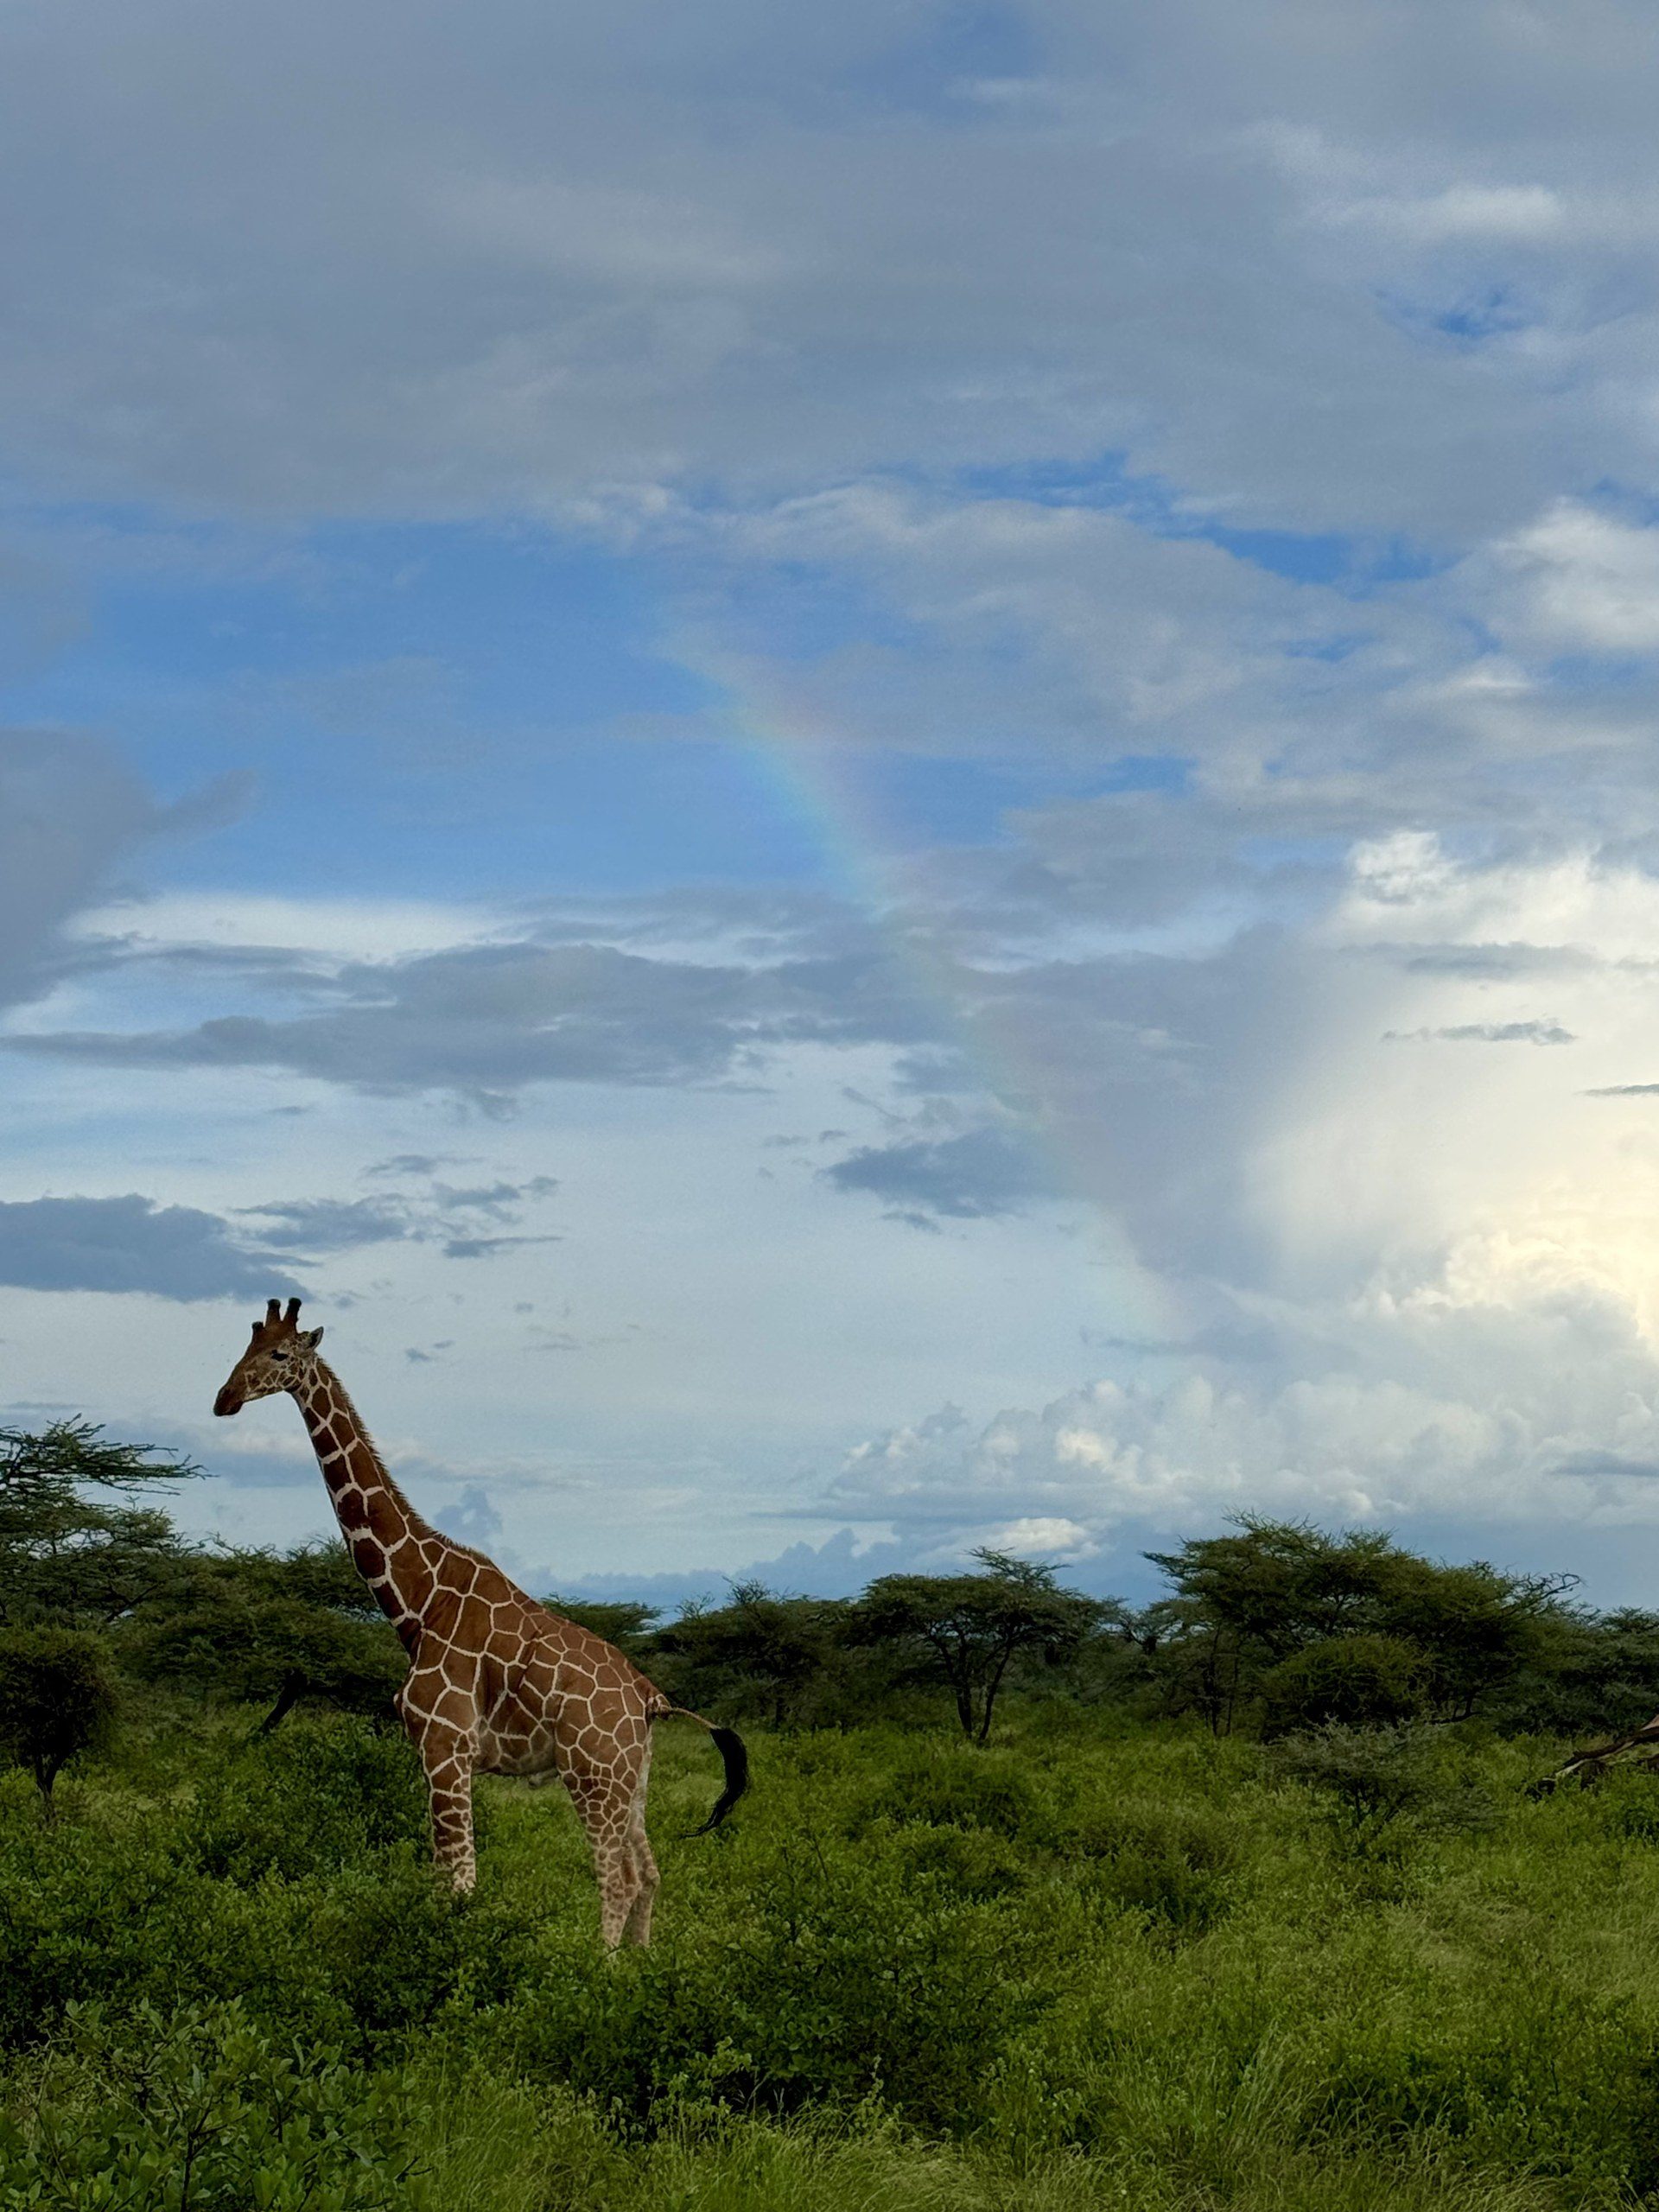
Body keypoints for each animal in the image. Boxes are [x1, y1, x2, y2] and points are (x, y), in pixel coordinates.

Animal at [212, 1299, 746, 1944]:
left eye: (280, 1353)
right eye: (244, 1346)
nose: (224, 1399)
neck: (419, 1600)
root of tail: (651, 1698)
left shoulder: (444, 1744)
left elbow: (459, 1881)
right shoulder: (439, 1750)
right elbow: (449, 1875)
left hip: (592, 1773)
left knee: (618, 1879)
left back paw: (600, 1967)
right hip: (633, 1777)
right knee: (649, 1874)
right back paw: (644, 1965)